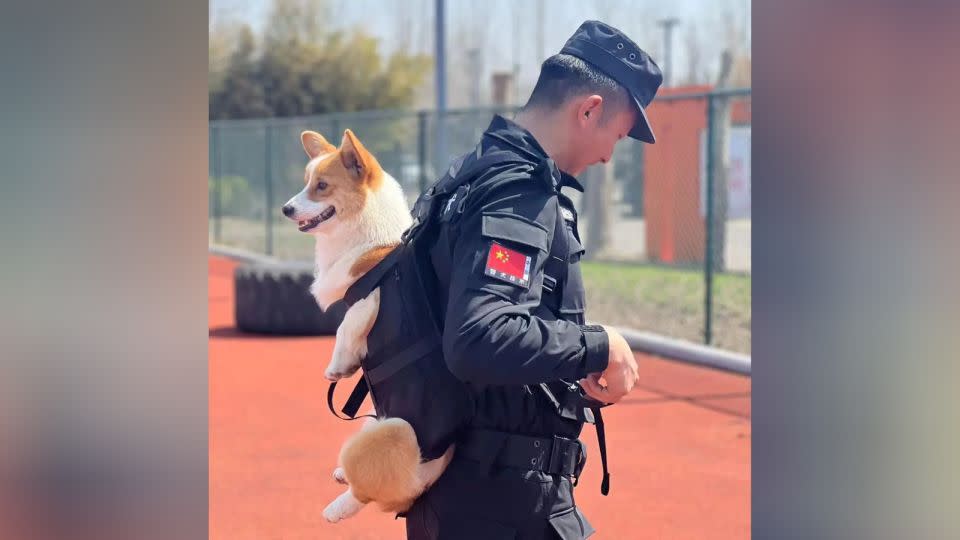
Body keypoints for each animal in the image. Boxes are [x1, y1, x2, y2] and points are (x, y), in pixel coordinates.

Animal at [280, 130, 456, 524]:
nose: (285, 209)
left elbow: (344, 329)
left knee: (364, 492)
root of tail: (416, 490)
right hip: (372, 419)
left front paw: (336, 370)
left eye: (322, 186)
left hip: (392, 430)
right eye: (306, 182)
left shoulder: (365, 302)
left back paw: (335, 508)